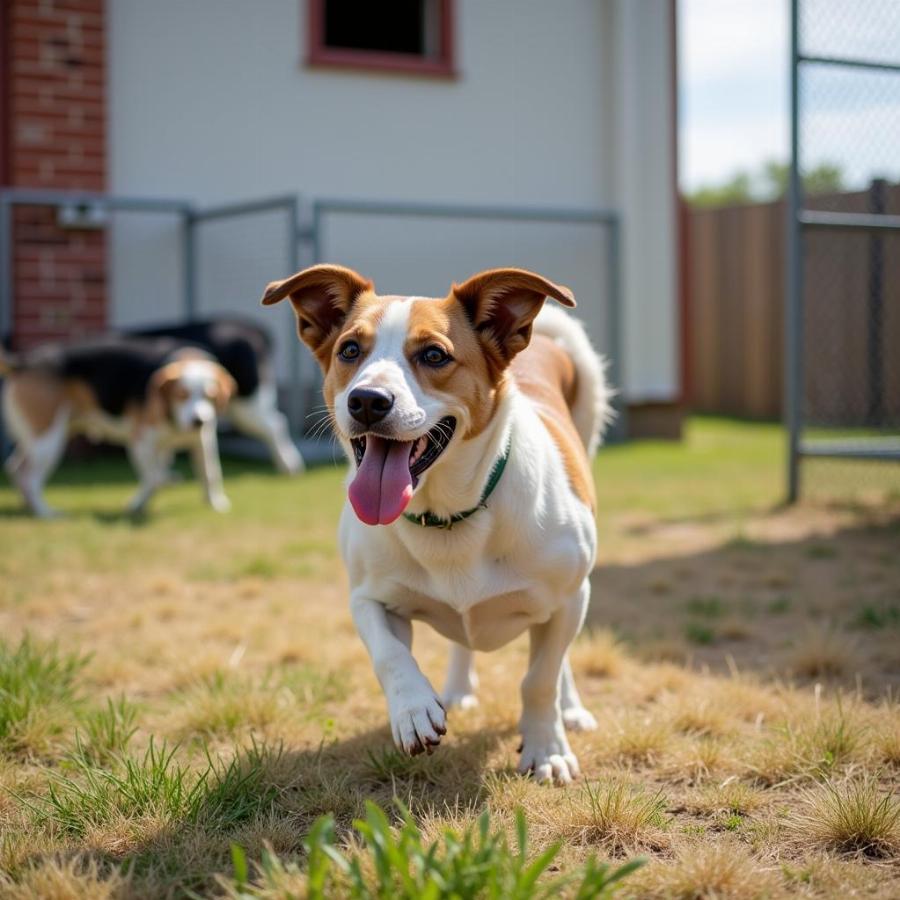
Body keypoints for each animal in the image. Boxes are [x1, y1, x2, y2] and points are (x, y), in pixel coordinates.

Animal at [0, 336, 237, 520]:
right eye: (182, 395)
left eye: (211, 396)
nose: (199, 420)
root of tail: (24, 362)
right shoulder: (140, 442)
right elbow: (154, 478)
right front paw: (140, 501)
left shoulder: (202, 441)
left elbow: (210, 473)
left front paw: (216, 504)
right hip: (48, 438)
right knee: (29, 478)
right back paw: (45, 513)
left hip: (46, 436)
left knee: (15, 468)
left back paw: (27, 507)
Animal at [260, 264, 612, 784]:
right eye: (350, 350)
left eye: (433, 355)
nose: (367, 400)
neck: (448, 514)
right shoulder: (367, 597)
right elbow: (390, 655)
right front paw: (413, 710)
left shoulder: (569, 598)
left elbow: (540, 677)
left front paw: (546, 748)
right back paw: (458, 687)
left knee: (558, 662)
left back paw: (570, 711)